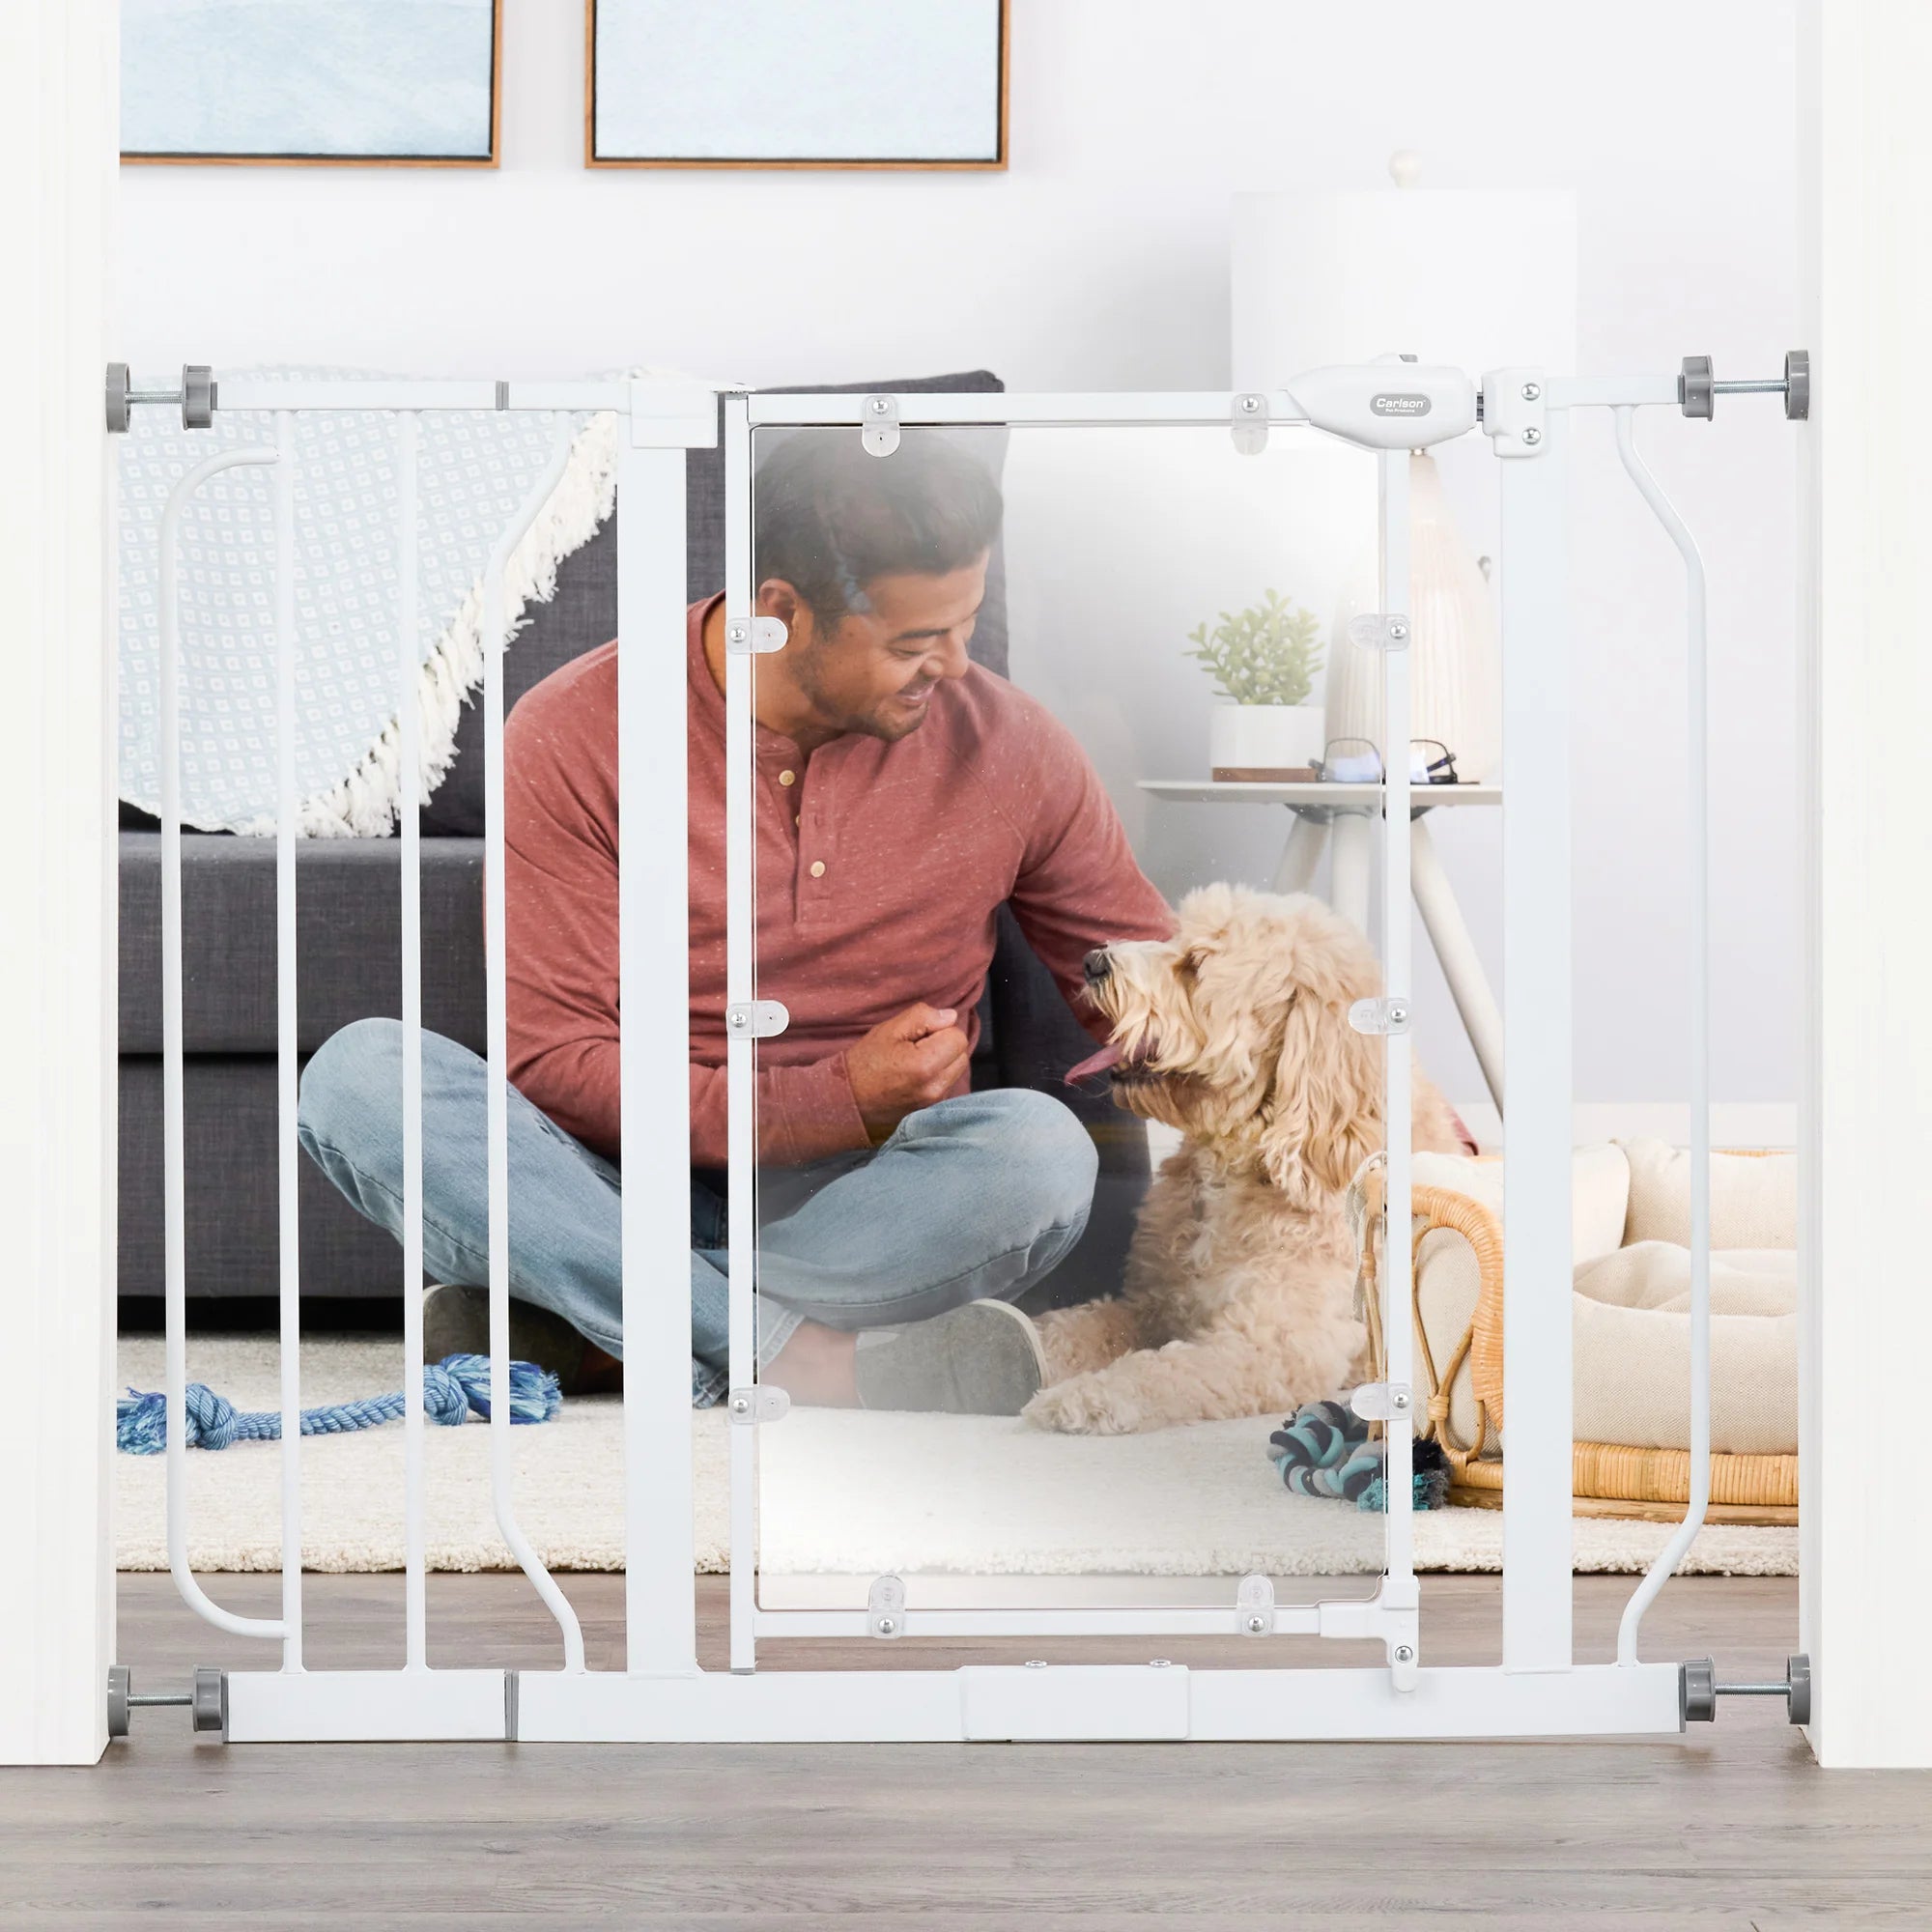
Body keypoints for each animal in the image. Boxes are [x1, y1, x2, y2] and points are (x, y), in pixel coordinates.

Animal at [1028, 881, 1461, 1437]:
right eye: (1172, 939)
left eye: (1194, 964)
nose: (1092, 961)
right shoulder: (1152, 1306)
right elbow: (1077, 1326)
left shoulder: (1273, 1345)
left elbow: (1169, 1372)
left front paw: (1084, 1397)